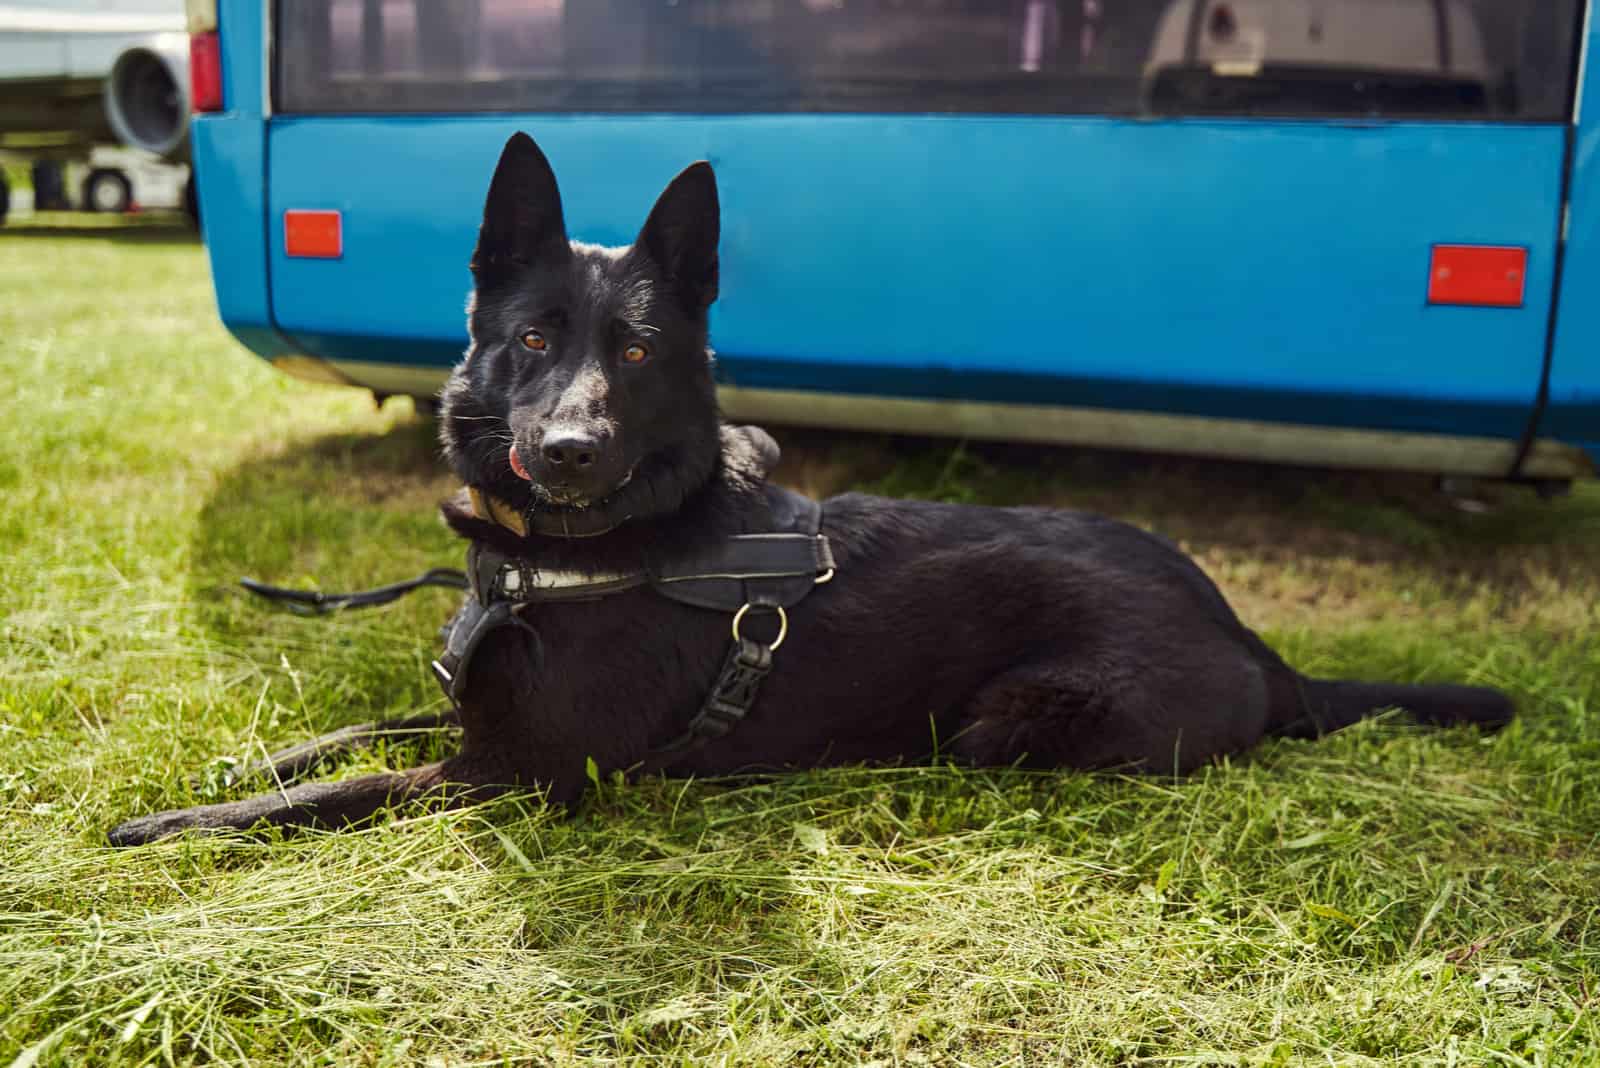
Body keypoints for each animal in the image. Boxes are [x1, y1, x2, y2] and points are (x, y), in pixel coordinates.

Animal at [109, 131, 1510, 844]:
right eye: (531, 340)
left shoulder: (513, 773)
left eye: (635, 353)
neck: (578, 552)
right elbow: (355, 734)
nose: (568, 450)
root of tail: (1257, 644)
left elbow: (340, 793)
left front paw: (180, 824)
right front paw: (252, 753)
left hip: (1008, 722)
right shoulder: (469, 724)